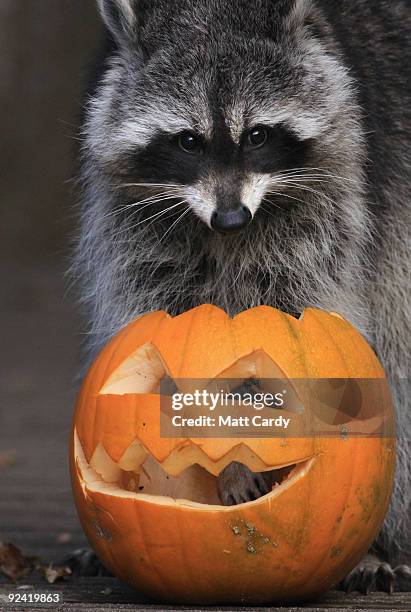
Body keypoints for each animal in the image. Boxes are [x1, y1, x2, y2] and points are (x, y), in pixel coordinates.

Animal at [75, 0, 411, 592]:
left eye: (257, 135)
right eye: (188, 141)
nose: (231, 218)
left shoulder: (333, 199)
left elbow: (293, 323)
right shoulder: (130, 214)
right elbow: (157, 316)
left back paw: (379, 544)